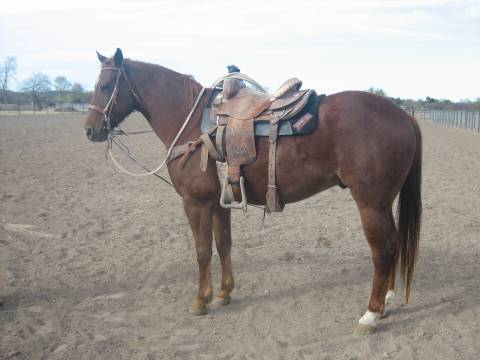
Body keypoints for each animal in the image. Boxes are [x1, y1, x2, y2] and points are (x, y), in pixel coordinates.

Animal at [84, 48, 422, 334]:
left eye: (105, 86)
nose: (90, 129)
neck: (192, 123)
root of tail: (404, 115)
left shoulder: (195, 204)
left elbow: (202, 251)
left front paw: (200, 300)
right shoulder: (218, 203)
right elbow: (224, 245)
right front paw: (223, 293)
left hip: (370, 205)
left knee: (382, 251)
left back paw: (370, 314)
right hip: (383, 203)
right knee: (393, 244)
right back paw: (386, 301)